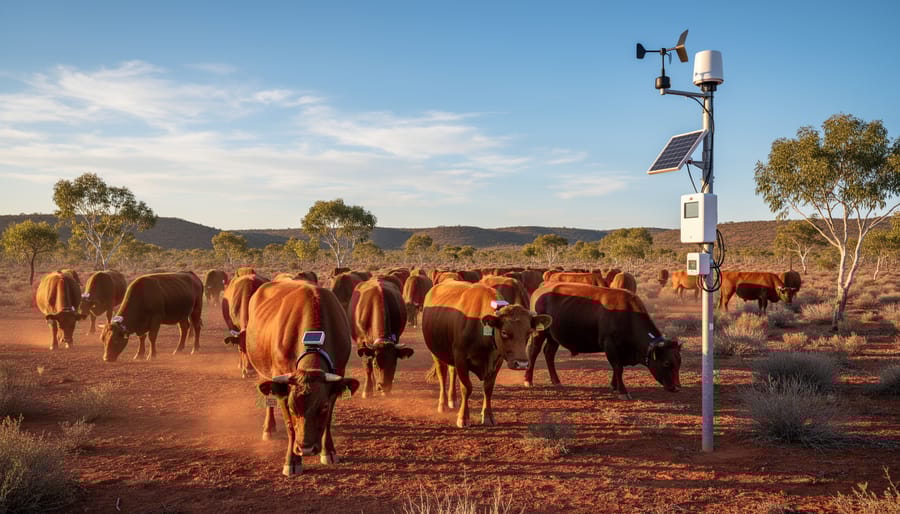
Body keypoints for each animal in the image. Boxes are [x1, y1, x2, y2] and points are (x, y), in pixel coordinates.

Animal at [246, 280, 360, 475]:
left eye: (323, 406)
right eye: (292, 408)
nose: (306, 449)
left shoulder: (338, 378)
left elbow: (327, 421)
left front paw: (329, 452)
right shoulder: (282, 385)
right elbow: (290, 427)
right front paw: (292, 461)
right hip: (262, 370)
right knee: (268, 400)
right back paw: (268, 428)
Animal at [422, 281, 552, 427]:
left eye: (529, 332)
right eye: (504, 332)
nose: (522, 364)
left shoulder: (497, 361)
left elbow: (488, 389)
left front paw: (488, 416)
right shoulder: (461, 358)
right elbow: (466, 387)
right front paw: (463, 417)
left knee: (451, 370)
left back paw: (452, 400)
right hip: (436, 354)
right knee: (442, 375)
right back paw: (443, 404)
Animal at [526, 282, 682, 398]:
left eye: (679, 363)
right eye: (667, 363)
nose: (677, 388)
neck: (628, 316)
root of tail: (540, 290)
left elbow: (617, 368)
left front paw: (614, 386)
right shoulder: (610, 345)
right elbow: (618, 368)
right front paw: (623, 391)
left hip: (554, 337)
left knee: (549, 354)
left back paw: (556, 381)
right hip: (539, 333)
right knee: (533, 353)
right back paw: (528, 380)